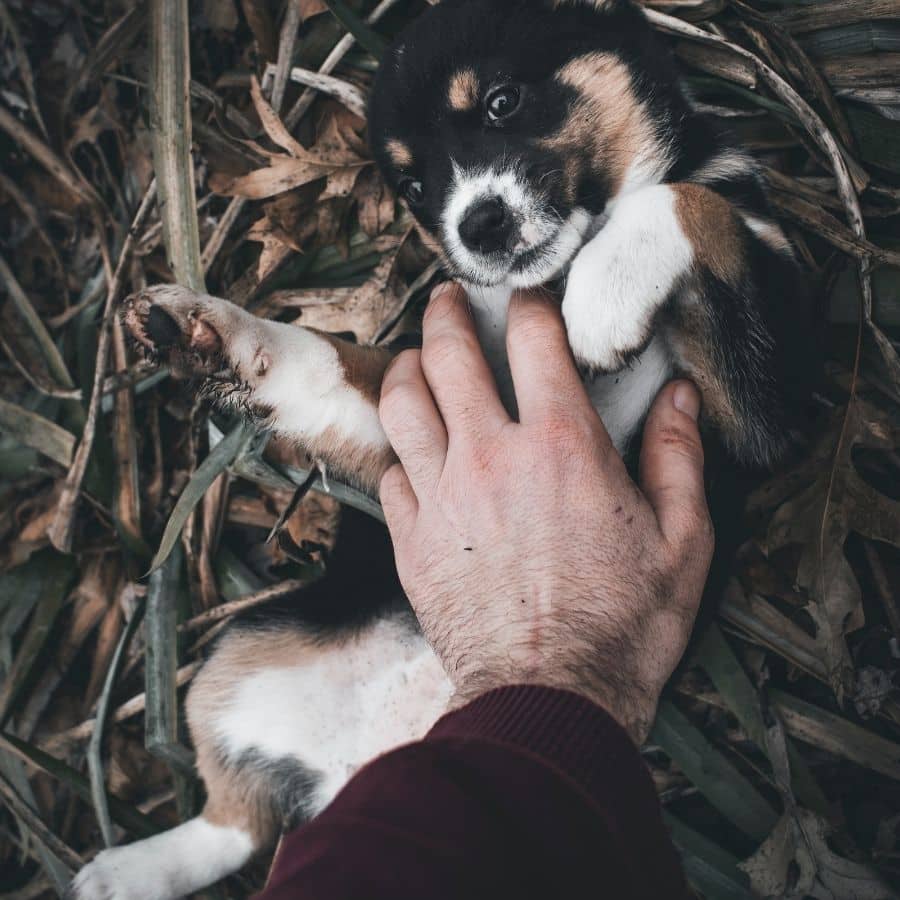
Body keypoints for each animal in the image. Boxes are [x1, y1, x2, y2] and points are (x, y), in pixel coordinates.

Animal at [74, 1, 812, 900]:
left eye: (501, 101)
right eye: (416, 189)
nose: (479, 225)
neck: (554, 272)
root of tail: (347, 772)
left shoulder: (764, 405)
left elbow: (697, 203)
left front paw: (604, 297)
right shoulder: (403, 414)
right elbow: (321, 358)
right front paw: (207, 327)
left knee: (241, 826)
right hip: (226, 662)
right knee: (232, 822)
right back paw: (124, 872)